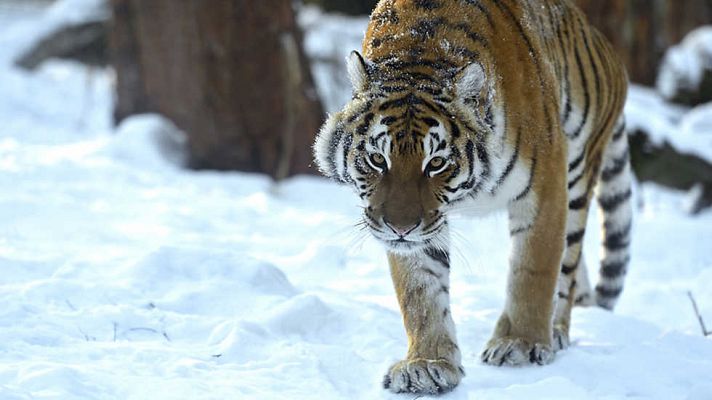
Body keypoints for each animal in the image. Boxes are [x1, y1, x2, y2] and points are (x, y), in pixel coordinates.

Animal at [314, 0, 632, 394]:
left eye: (436, 163)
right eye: (377, 159)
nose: (400, 228)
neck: (418, 51)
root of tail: (603, 47)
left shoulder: (545, 184)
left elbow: (534, 270)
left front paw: (520, 344)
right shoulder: (421, 228)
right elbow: (420, 291)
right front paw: (427, 364)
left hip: (578, 170)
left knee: (568, 264)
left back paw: (555, 330)